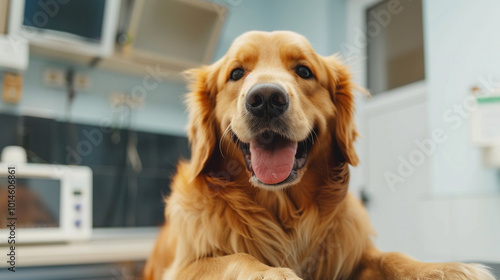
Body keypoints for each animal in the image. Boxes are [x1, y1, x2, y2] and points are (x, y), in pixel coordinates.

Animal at [143, 31, 494, 280]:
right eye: (236, 73)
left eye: (303, 70)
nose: (266, 98)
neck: (283, 210)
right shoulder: (183, 268)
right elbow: (234, 258)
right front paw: (270, 274)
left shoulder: (353, 252)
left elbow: (390, 257)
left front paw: (444, 269)